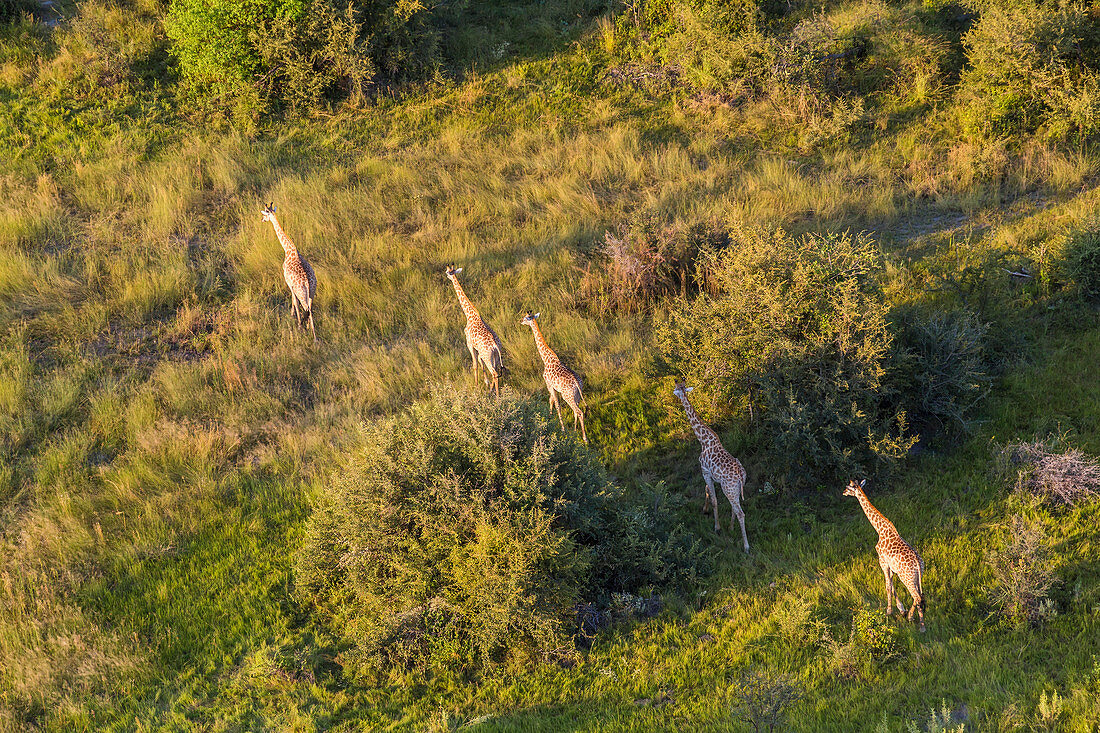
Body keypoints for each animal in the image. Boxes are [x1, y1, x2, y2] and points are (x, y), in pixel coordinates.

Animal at [261, 201, 319, 341]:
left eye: (265, 214)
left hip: (302, 293)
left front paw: (294, 318)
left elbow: (294, 302)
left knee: (305, 307)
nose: (262, 219)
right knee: (310, 309)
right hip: (312, 291)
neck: (289, 249)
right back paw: (313, 334)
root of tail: (307, 283)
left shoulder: (289, 283)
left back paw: (304, 329)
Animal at [444, 267, 503, 396]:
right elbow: (480, 364)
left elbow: (475, 365)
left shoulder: (469, 344)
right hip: (496, 355)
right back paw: (491, 391)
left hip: (488, 356)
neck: (470, 315)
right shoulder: (477, 348)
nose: (446, 275)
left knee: (494, 373)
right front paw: (485, 383)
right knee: (495, 371)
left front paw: (476, 387)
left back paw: (496, 396)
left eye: (448, 272)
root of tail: (495, 345)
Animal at [521, 310, 589, 442]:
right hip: (577, 395)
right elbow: (551, 400)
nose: (520, 321)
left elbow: (556, 404)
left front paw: (562, 428)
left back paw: (585, 438)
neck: (546, 359)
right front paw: (549, 417)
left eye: (526, 318)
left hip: (567, 396)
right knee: (576, 411)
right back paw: (574, 431)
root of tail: (577, 383)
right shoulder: (552, 386)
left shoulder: (548, 384)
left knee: (579, 412)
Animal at [668, 378, 748, 545]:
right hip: (735, 489)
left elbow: (714, 500)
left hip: (729, 489)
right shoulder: (709, 474)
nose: (673, 392)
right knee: (735, 508)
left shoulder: (704, 471)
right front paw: (705, 510)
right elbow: (708, 491)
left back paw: (746, 546)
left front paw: (717, 528)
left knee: (741, 513)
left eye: (676, 388)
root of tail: (740, 475)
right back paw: (731, 527)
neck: (703, 440)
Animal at [844, 477, 924, 629]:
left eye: (849, 487)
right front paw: (901, 609)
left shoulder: (882, 562)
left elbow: (887, 586)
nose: (843, 492)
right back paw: (916, 617)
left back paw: (914, 620)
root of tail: (918, 563)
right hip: (917, 576)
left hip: (907, 577)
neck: (880, 530)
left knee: (916, 596)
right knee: (920, 596)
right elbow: (891, 586)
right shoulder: (890, 566)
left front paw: (889, 612)